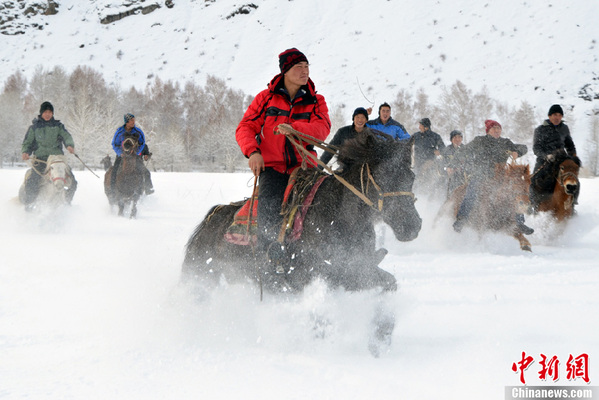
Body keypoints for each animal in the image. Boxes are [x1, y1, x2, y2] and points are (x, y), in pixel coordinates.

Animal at [183, 131, 422, 294]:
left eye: (411, 177)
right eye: (382, 177)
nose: (412, 225)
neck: (338, 216)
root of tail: (211, 220)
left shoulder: (359, 270)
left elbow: (388, 283)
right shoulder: (321, 275)